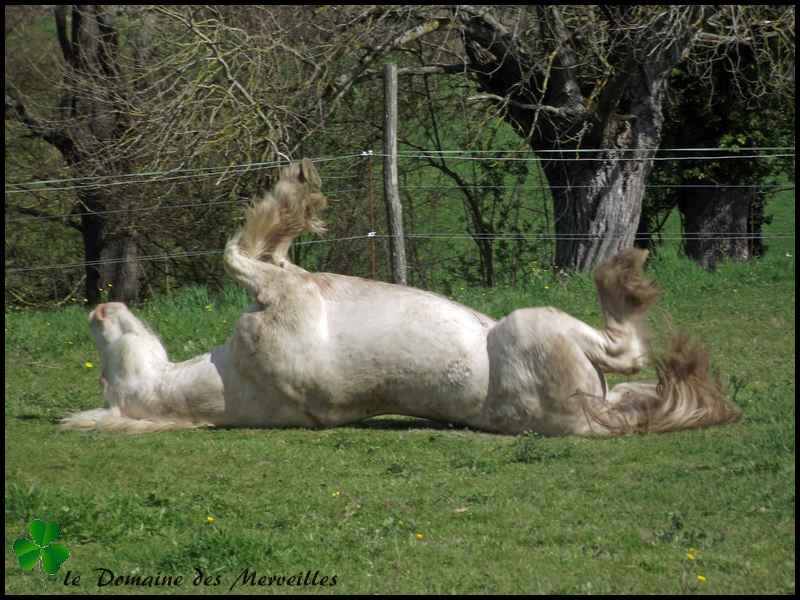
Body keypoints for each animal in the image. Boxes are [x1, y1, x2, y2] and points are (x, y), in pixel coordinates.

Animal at [62, 159, 744, 436]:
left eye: (103, 367)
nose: (98, 309)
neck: (235, 383)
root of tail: (581, 420)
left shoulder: (285, 282)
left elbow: (257, 248)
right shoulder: (284, 293)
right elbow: (240, 250)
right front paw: (296, 192)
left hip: (598, 383)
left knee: (640, 383)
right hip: (532, 327)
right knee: (627, 350)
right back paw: (623, 274)